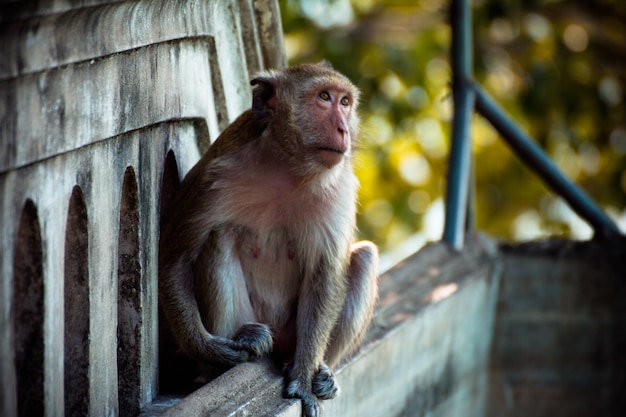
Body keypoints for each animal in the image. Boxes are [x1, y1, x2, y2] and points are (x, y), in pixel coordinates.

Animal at [158, 61, 378, 416]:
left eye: (345, 102)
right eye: (324, 97)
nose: (344, 129)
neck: (288, 168)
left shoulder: (340, 188)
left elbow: (325, 273)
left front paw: (302, 380)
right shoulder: (215, 177)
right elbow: (175, 259)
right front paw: (210, 349)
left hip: (291, 336)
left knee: (365, 257)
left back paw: (319, 371)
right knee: (219, 238)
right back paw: (233, 355)